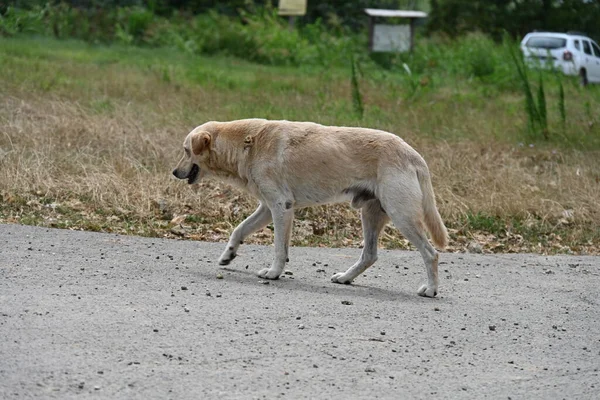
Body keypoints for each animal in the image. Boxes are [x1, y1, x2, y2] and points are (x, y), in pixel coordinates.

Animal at [171, 119, 448, 296]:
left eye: (186, 150)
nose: (174, 172)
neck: (248, 143)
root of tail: (414, 154)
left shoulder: (281, 207)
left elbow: (279, 249)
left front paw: (274, 273)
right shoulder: (267, 208)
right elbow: (238, 230)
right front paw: (228, 255)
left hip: (402, 216)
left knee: (431, 254)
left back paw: (432, 289)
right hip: (371, 214)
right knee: (370, 255)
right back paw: (345, 278)